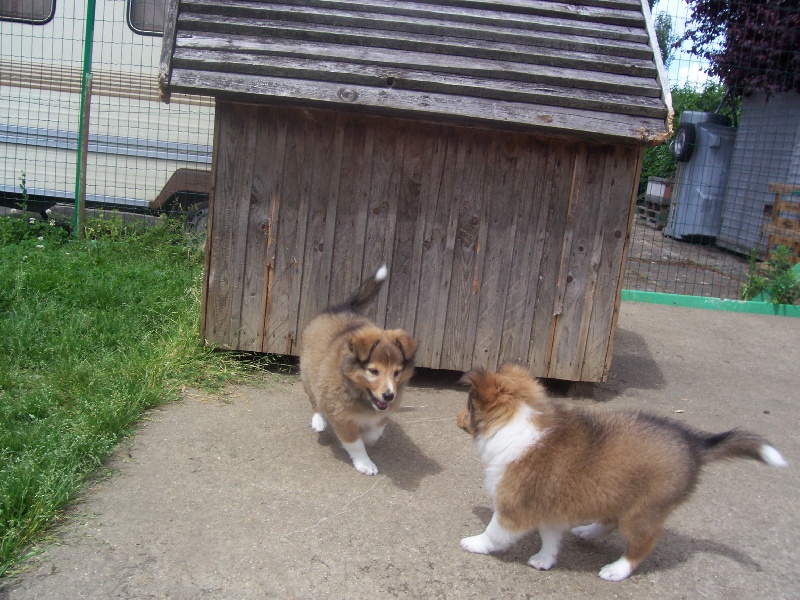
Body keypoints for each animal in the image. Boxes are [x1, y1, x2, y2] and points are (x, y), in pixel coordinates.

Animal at [299, 265, 418, 475]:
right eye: (373, 371)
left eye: (397, 373)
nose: (389, 395)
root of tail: (345, 306)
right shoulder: (341, 417)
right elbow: (355, 443)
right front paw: (365, 464)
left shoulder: (384, 413)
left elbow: (375, 431)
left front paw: (368, 437)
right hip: (308, 372)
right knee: (314, 400)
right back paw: (319, 421)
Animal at [457, 363, 787, 581]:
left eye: (469, 405)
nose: (456, 419)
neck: (515, 424)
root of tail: (694, 444)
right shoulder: (549, 505)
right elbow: (550, 537)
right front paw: (544, 560)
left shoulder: (515, 508)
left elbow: (495, 533)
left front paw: (474, 543)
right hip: (617, 493)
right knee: (609, 520)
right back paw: (587, 531)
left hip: (643, 511)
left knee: (641, 545)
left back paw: (617, 569)